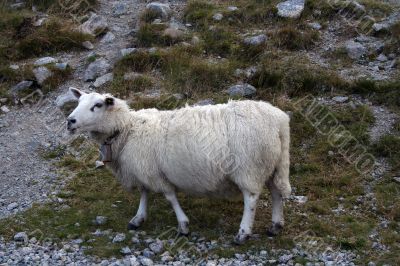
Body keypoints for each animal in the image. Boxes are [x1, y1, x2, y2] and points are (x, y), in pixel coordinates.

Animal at [65, 88, 290, 244]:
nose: (70, 121)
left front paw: (183, 225)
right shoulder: (144, 168)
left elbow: (170, 197)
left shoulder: (154, 173)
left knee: (251, 198)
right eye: (79, 102)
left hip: (249, 167)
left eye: (97, 105)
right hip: (273, 164)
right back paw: (276, 225)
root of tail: (280, 121)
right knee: (276, 192)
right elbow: (144, 192)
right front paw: (138, 218)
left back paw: (243, 233)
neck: (127, 129)